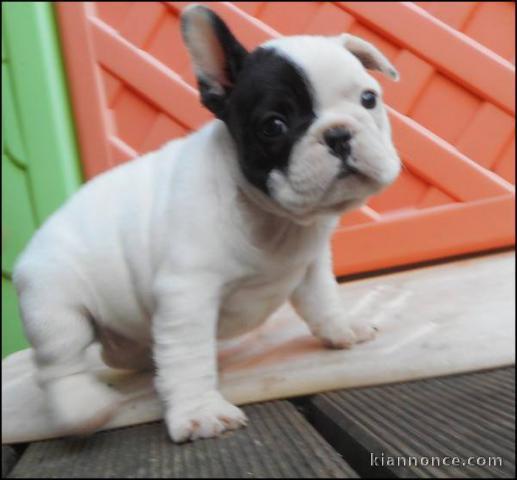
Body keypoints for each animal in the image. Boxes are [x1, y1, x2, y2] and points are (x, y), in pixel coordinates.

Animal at [12, 5, 400, 444]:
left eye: (368, 99)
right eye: (274, 126)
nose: (338, 134)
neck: (271, 217)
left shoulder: (311, 265)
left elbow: (323, 300)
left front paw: (342, 328)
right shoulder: (187, 294)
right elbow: (187, 357)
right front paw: (200, 412)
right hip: (53, 304)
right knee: (59, 363)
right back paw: (81, 406)